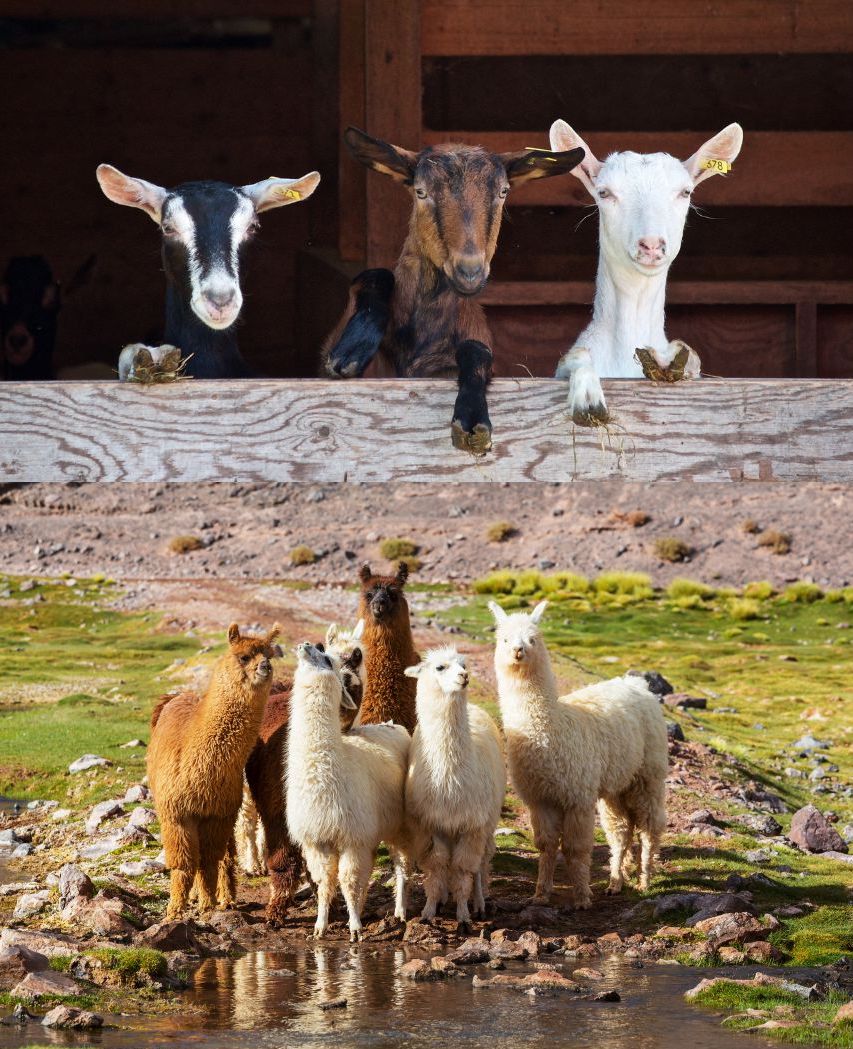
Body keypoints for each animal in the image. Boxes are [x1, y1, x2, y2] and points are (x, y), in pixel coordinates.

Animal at [286, 641, 410, 941]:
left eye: (327, 660)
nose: (307, 644)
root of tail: (392, 725)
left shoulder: (353, 837)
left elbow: (348, 880)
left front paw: (354, 928)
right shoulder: (318, 840)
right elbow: (325, 882)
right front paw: (320, 926)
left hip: (399, 824)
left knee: (400, 864)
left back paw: (400, 912)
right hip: (372, 830)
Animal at [322, 128, 584, 453]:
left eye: (503, 192)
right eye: (420, 191)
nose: (469, 271)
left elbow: (477, 351)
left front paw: (472, 418)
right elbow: (374, 275)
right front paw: (352, 350)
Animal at [405, 647, 505, 923]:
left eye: (463, 664)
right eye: (440, 667)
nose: (465, 676)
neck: (449, 781)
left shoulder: (471, 825)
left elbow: (462, 871)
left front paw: (463, 916)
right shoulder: (432, 824)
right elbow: (437, 866)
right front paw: (428, 911)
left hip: (487, 822)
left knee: (479, 866)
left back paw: (479, 904)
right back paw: (443, 899)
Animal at [489, 600, 667, 906]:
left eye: (533, 638)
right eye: (504, 639)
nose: (518, 651)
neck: (550, 733)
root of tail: (637, 685)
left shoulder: (577, 797)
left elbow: (576, 849)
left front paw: (583, 897)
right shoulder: (541, 799)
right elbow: (546, 846)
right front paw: (541, 894)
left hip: (648, 775)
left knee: (649, 826)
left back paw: (644, 879)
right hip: (616, 785)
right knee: (621, 830)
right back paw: (616, 881)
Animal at [548, 121, 743, 424]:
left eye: (685, 192)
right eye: (604, 193)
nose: (651, 245)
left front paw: (671, 359)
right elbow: (575, 356)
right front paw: (588, 398)